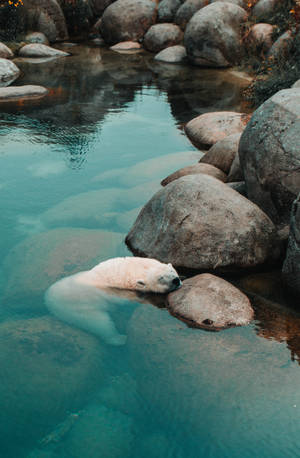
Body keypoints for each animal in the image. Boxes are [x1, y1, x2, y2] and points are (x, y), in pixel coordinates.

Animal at [44, 260, 180, 346]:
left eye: (172, 271)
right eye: (160, 278)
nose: (176, 280)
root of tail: (48, 301)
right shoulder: (117, 291)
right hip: (77, 308)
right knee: (99, 324)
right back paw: (120, 339)